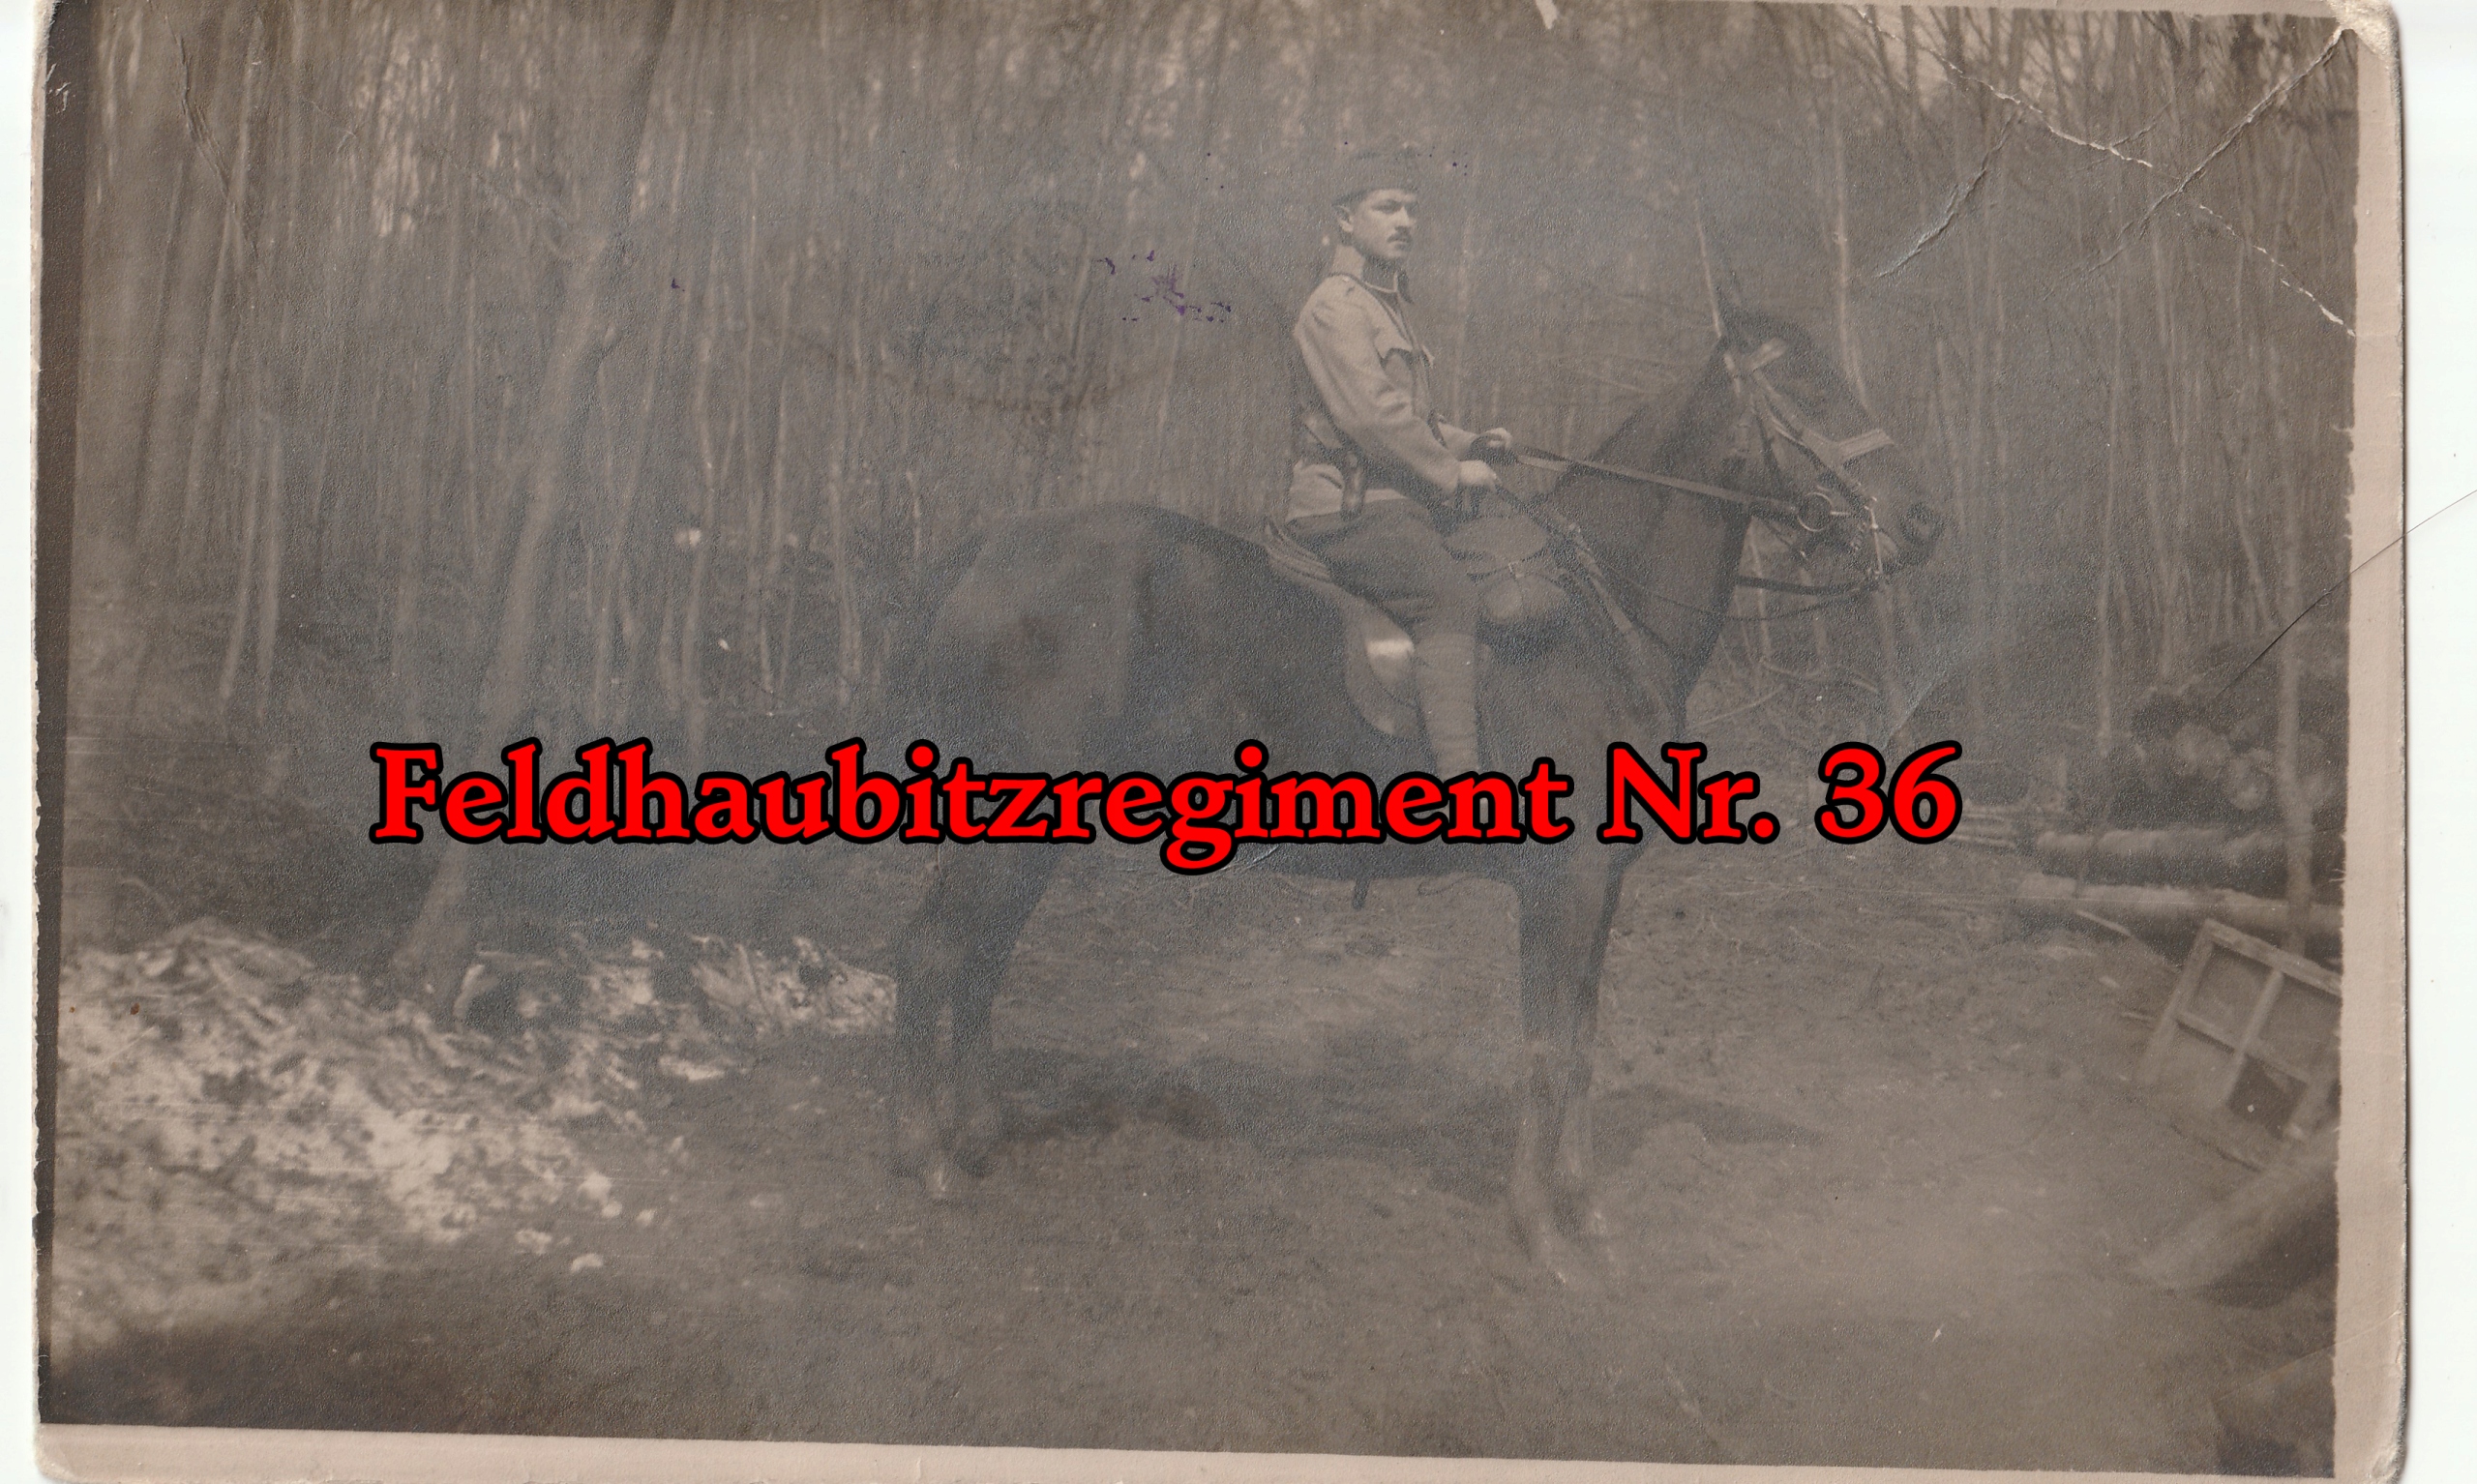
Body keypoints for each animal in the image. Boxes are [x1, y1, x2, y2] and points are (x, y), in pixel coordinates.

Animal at [882, 307, 1942, 1282]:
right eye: (1806, 387)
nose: (1923, 522)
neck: (1601, 613)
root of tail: (986, 553)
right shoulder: (1562, 888)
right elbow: (1544, 1048)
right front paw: (1541, 1232)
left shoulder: (1601, 892)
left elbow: (1584, 1042)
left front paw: (1586, 1209)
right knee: (936, 954)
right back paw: (928, 1157)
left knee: (979, 959)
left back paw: (980, 1132)